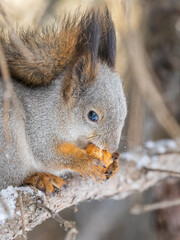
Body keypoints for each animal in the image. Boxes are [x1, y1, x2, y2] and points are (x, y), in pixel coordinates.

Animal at [0, 7, 126, 195]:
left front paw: (114, 162)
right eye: (92, 116)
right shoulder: (39, 125)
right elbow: (48, 152)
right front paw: (84, 163)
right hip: (9, 138)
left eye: (124, 113)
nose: (111, 147)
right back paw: (39, 178)